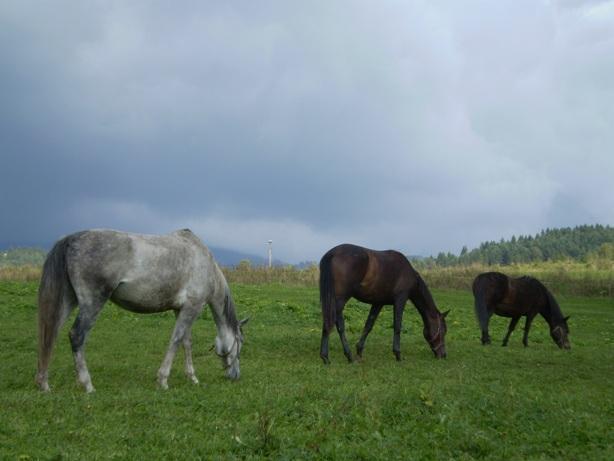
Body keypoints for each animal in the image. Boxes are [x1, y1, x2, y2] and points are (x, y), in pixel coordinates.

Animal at [36, 227, 247, 392]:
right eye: (240, 344)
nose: (236, 375)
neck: (204, 262)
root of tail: (72, 239)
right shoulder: (192, 308)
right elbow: (176, 340)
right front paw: (163, 380)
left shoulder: (181, 310)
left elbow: (186, 342)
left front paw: (192, 377)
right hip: (92, 303)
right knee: (77, 336)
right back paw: (88, 385)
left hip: (68, 301)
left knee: (51, 334)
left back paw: (44, 383)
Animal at [320, 243, 450, 364]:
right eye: (443, 330)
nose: (443, 355)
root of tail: (332, 253)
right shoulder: (400, 300)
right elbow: (397, 326)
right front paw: (397, 354)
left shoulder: (378, 303)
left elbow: (368, 326)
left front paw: (359, 351)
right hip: (340, 300)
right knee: (334, 324)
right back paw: (332, 356)